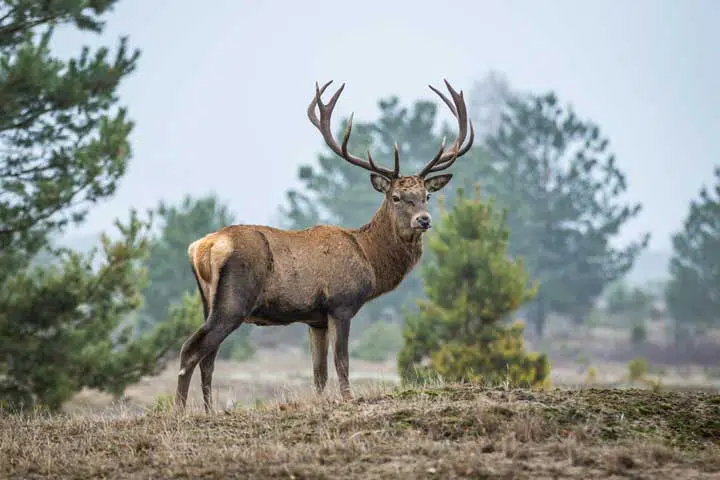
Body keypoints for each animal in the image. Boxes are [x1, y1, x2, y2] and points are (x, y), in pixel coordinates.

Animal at [177, 80, 476, 410]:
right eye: (397, 197)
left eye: (427, 195)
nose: (423, 220)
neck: (370, 258)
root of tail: (202, 247)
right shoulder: (341, 303)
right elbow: (342, 361)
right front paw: (348, 398)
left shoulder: (315, 318)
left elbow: (318, 372)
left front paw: (320, 401)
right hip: (234, 301)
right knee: (191, 349)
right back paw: (180, 410)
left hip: (208, 301)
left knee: (208, 357)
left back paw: (208, 409)